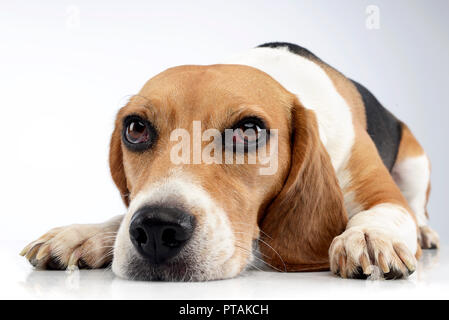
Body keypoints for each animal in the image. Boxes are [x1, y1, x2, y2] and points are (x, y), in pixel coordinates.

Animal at [20, 42, 438, 280]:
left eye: (249, 131)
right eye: (135, 128)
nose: (156, 229)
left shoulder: (381, 191)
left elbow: (386, 213)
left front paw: (369, 236)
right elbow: (121, 216)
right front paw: (83, 233)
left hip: (416, 162)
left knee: (417, 208)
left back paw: (423, 232)